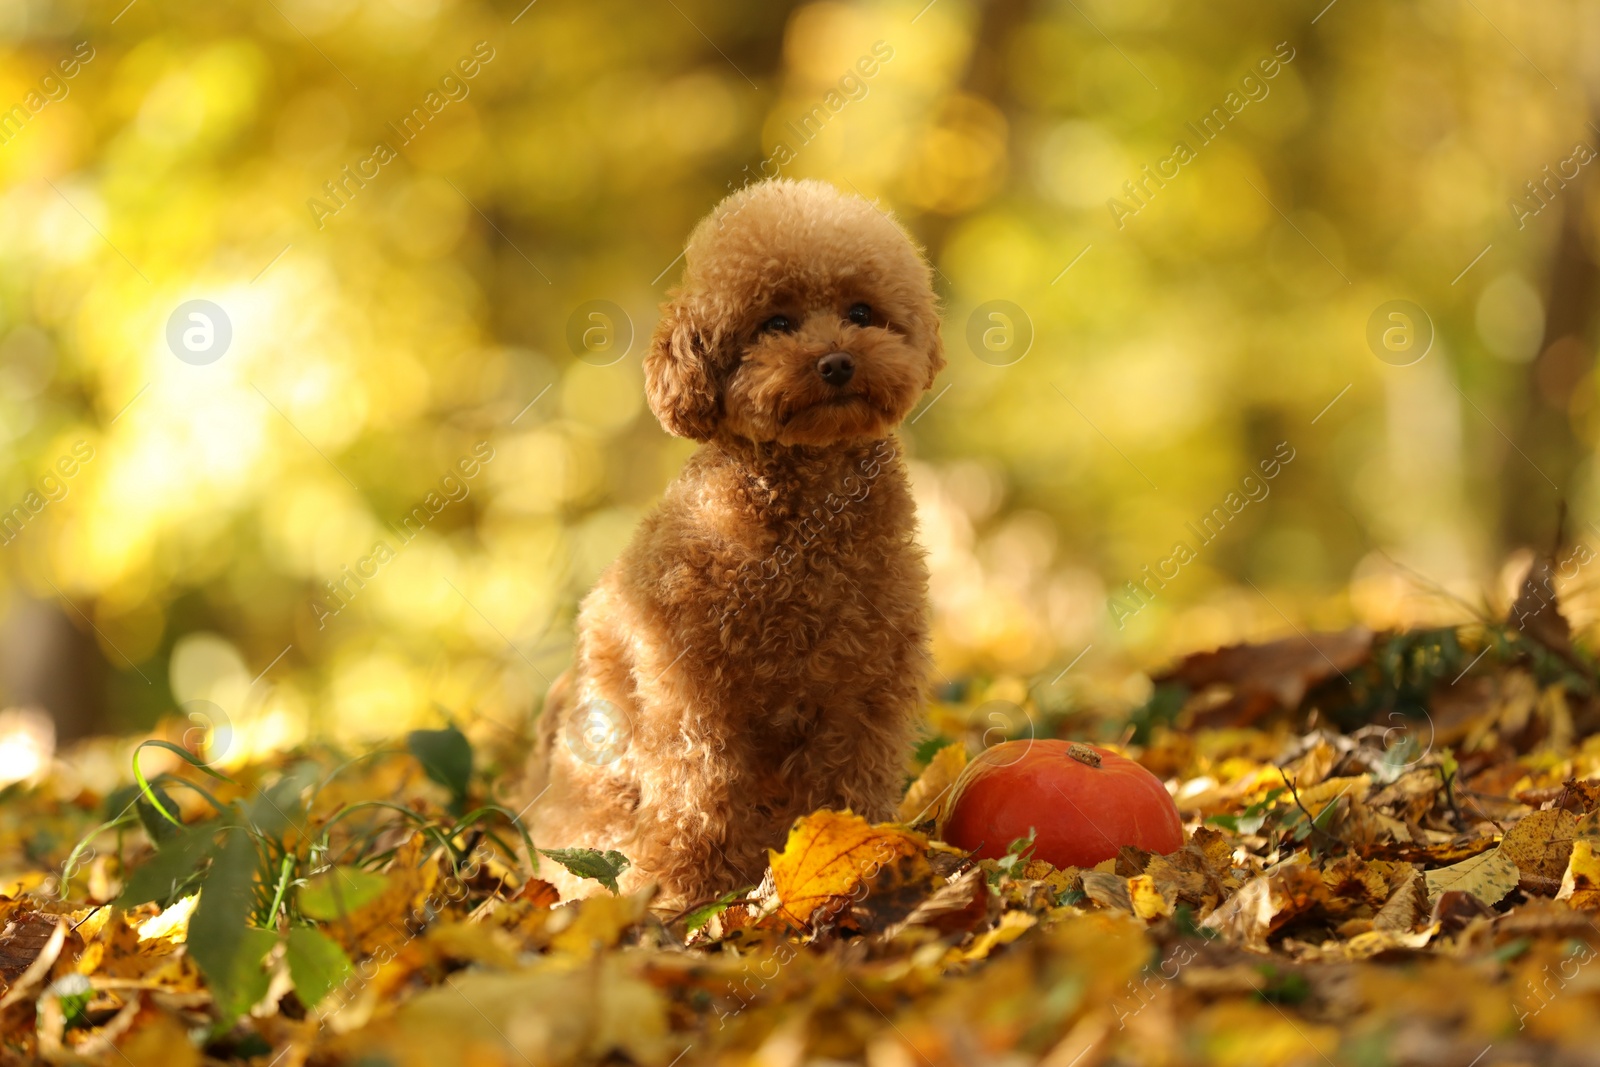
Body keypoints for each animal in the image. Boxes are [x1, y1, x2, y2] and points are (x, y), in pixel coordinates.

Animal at [531, 177, 940, 908]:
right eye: (774, 323)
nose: (837, 362)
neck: (809, 519)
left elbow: (847, 781)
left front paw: (849, 857)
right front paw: (692, 894)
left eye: (862, 311)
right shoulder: (692, 690)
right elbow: (700, 792)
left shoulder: (866, 689)